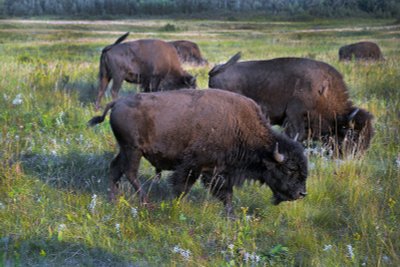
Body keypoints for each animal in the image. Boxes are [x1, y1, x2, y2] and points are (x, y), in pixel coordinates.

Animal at [89, 89, 308, 217]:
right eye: (290, 169)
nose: (302, 193)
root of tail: (117, 102)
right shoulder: (194, 166)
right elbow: (182, 187)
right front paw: (176, 206)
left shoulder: (221, 172)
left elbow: (226, 195)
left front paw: (231, 216)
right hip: (133, 150)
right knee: (130, 173)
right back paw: (145, 203)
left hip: (125, 149)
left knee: (115, 169)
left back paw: (113, 200)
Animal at [209, 53, 376, 156]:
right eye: (353, 134)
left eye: (370, 134)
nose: (358, 155)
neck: (324, 90)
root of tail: (217, 69)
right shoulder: (294, 115)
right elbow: (297, 136)